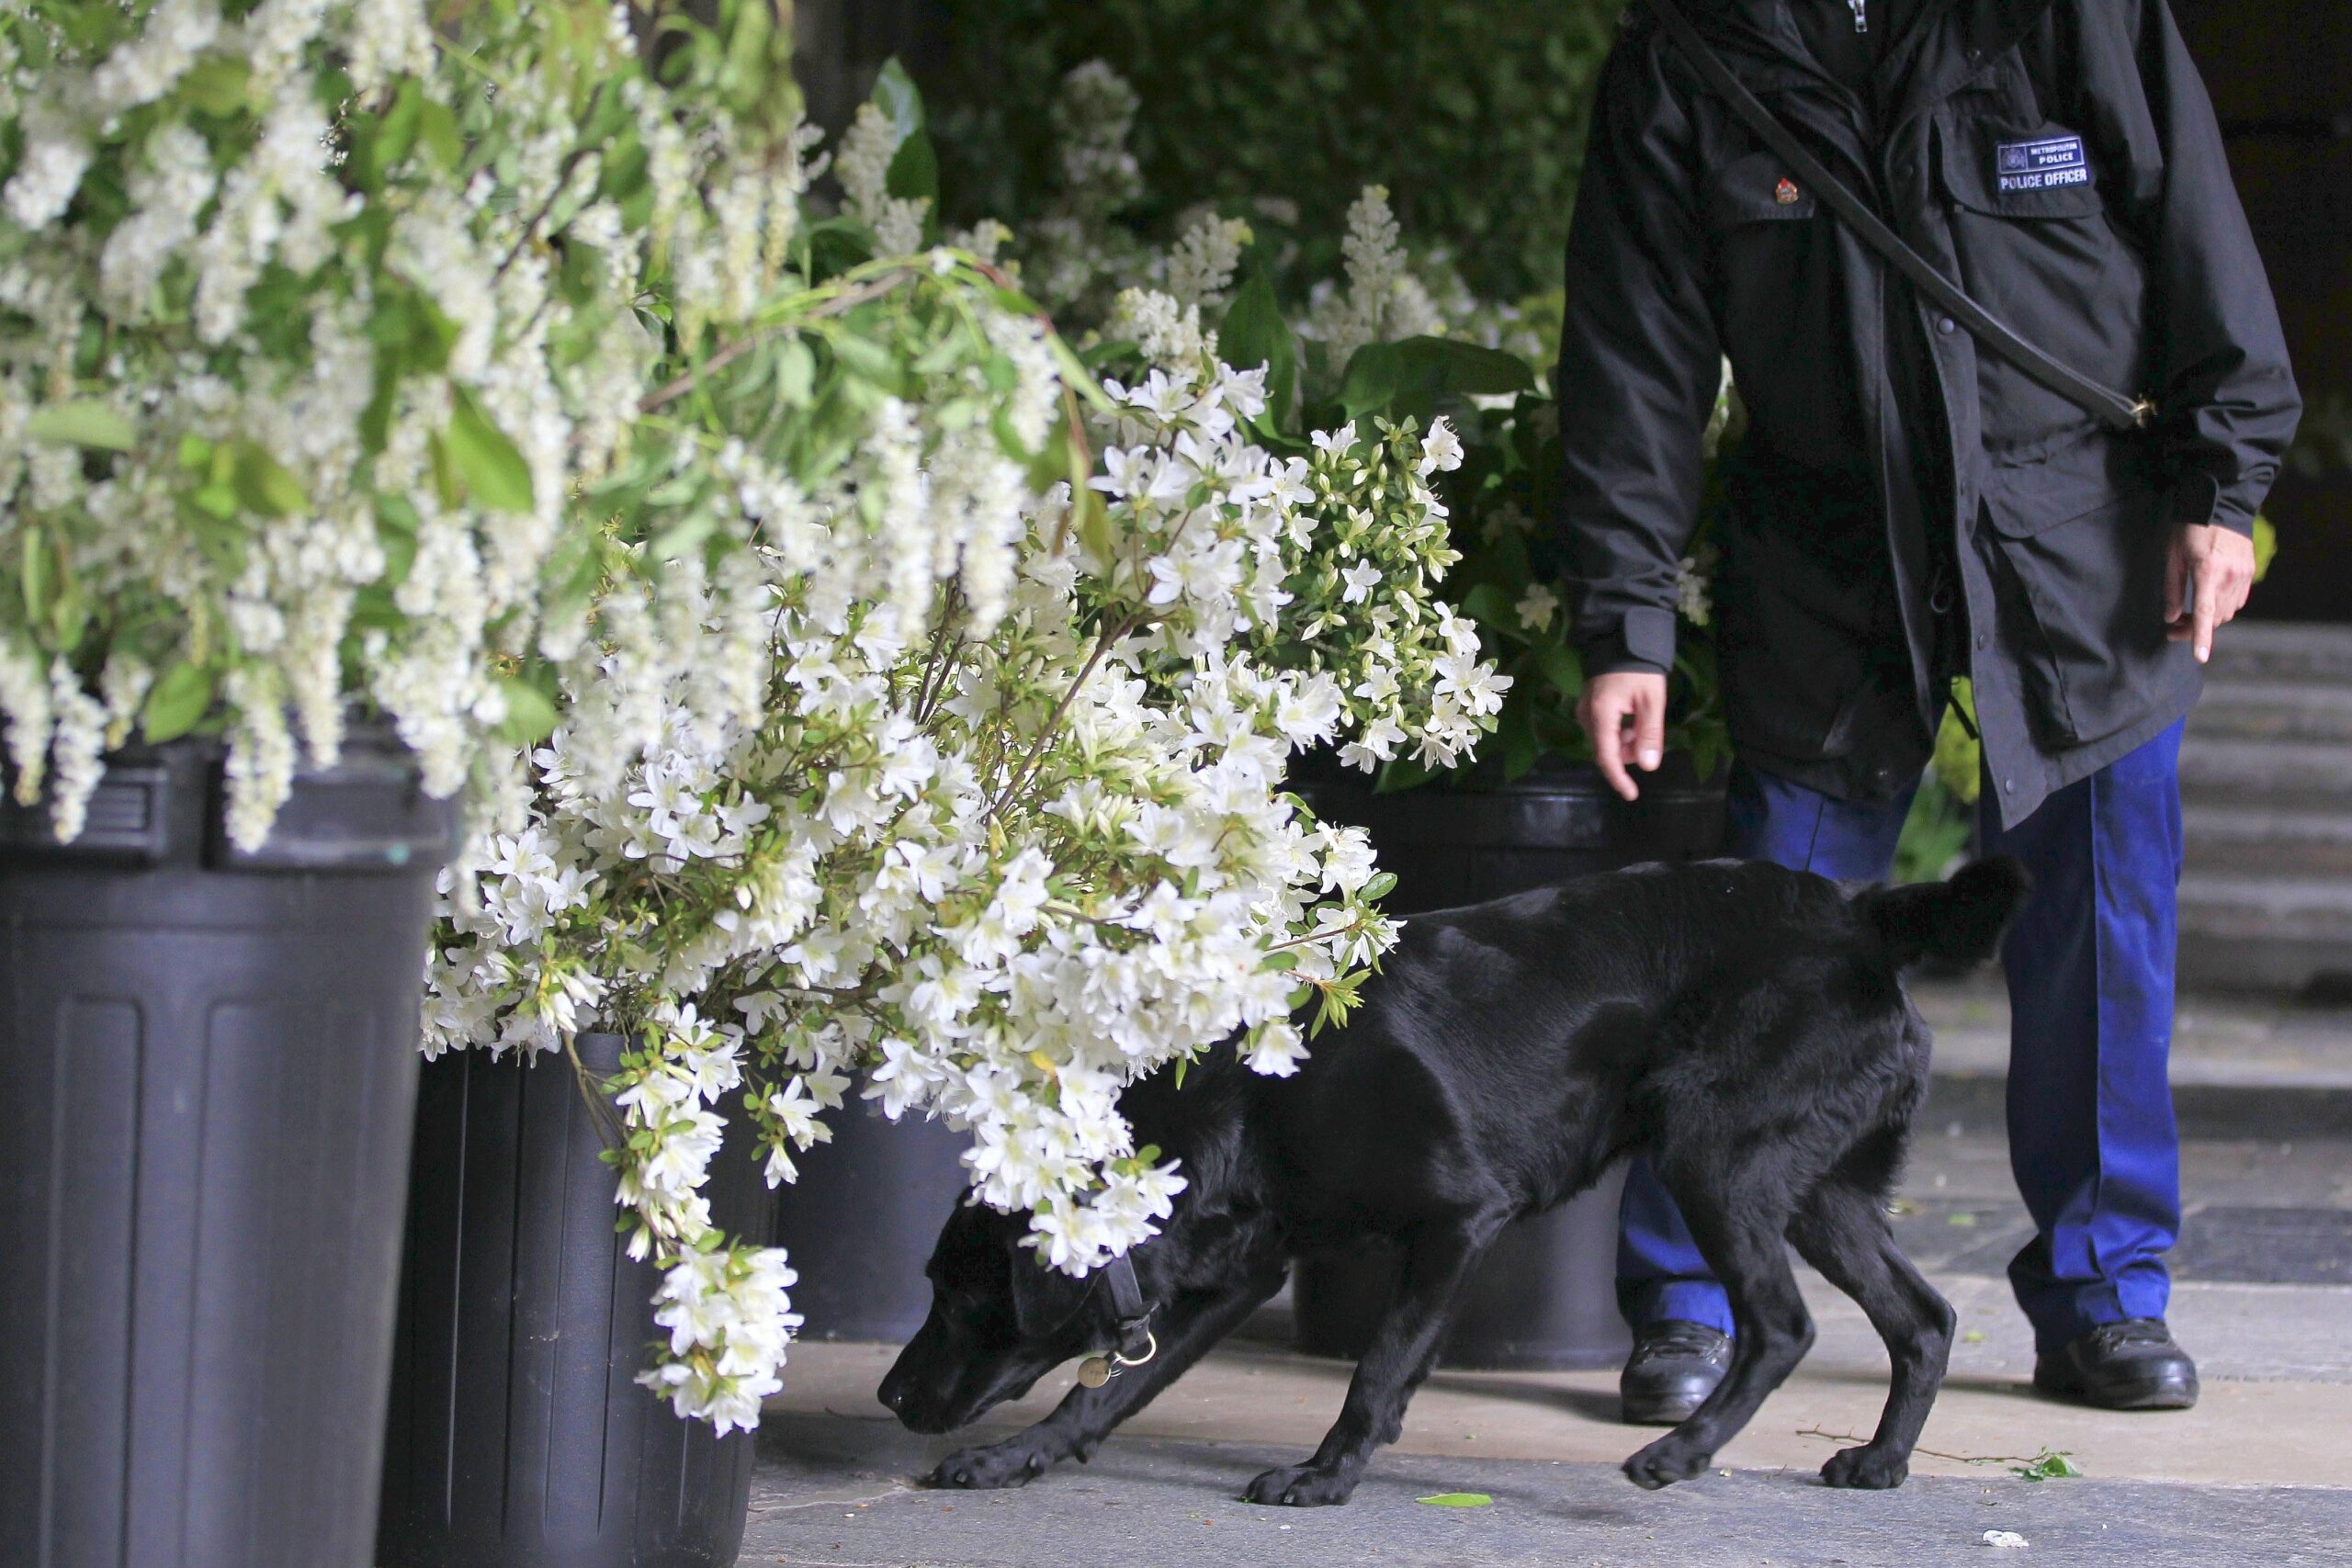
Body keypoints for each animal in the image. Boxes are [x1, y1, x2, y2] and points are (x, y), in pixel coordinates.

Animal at [875, 860, 2031, 1504]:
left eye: (960, 1296)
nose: (887, 1394)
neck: (1258, 1100)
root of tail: (1862, 914)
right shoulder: (1236, 1273)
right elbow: (1107, 1390)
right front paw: (1014, 1460)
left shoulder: (1459, 1221)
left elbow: (1380, 1365)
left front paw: (1327, 1475)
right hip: (1820, 1191)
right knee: (1924, 1318)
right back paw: (1879, 1463)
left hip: (1715, 1162)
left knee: (1782, 1326)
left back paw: (1683, 1451)